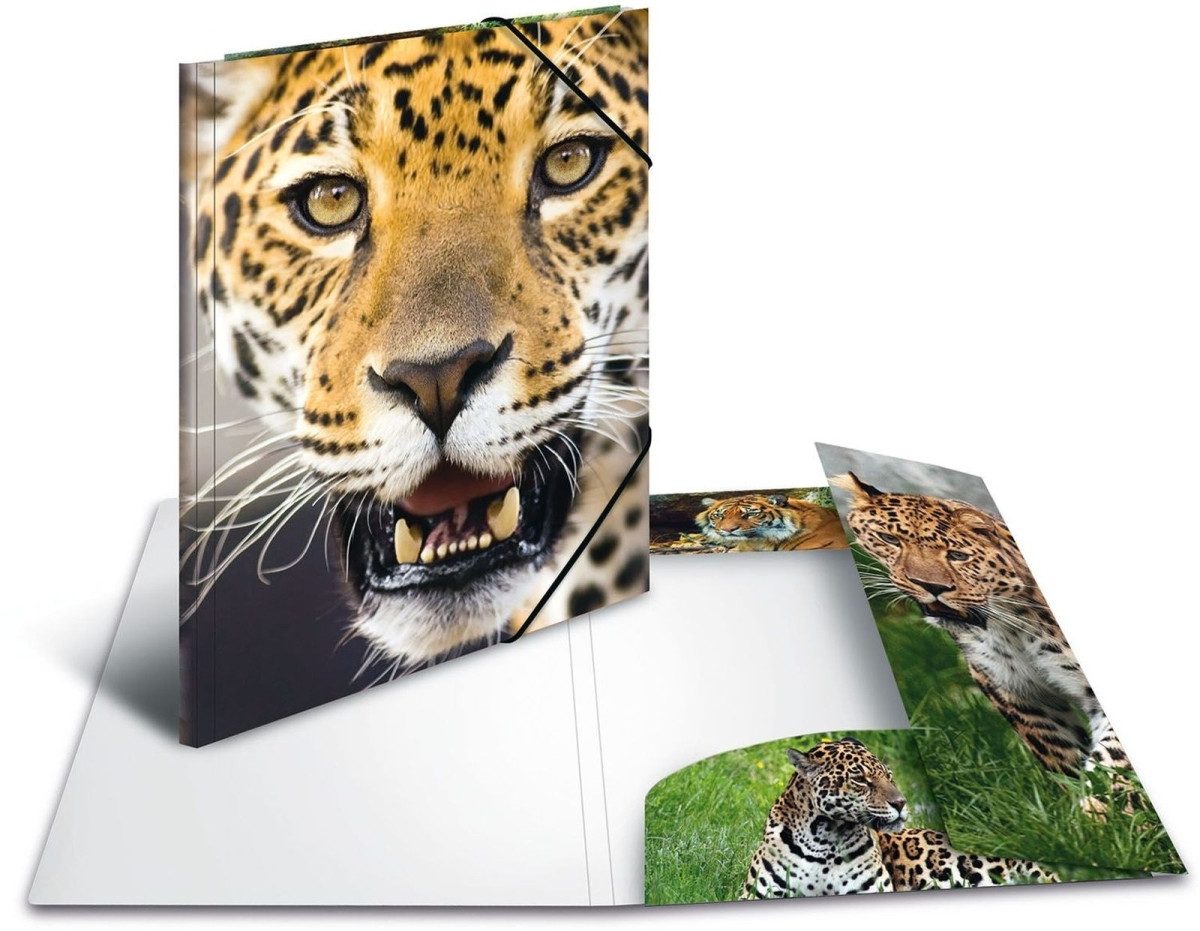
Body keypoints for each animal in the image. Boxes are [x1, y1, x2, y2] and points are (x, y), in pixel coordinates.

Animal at [831, 472, 1136, 809]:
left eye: (958, 555)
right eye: (889, 539)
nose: (931, 587)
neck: (1010, 627)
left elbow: (1114, 758)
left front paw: (1105, 812)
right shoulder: (1018, 693)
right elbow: (1060, 752)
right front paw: (1083, 816)